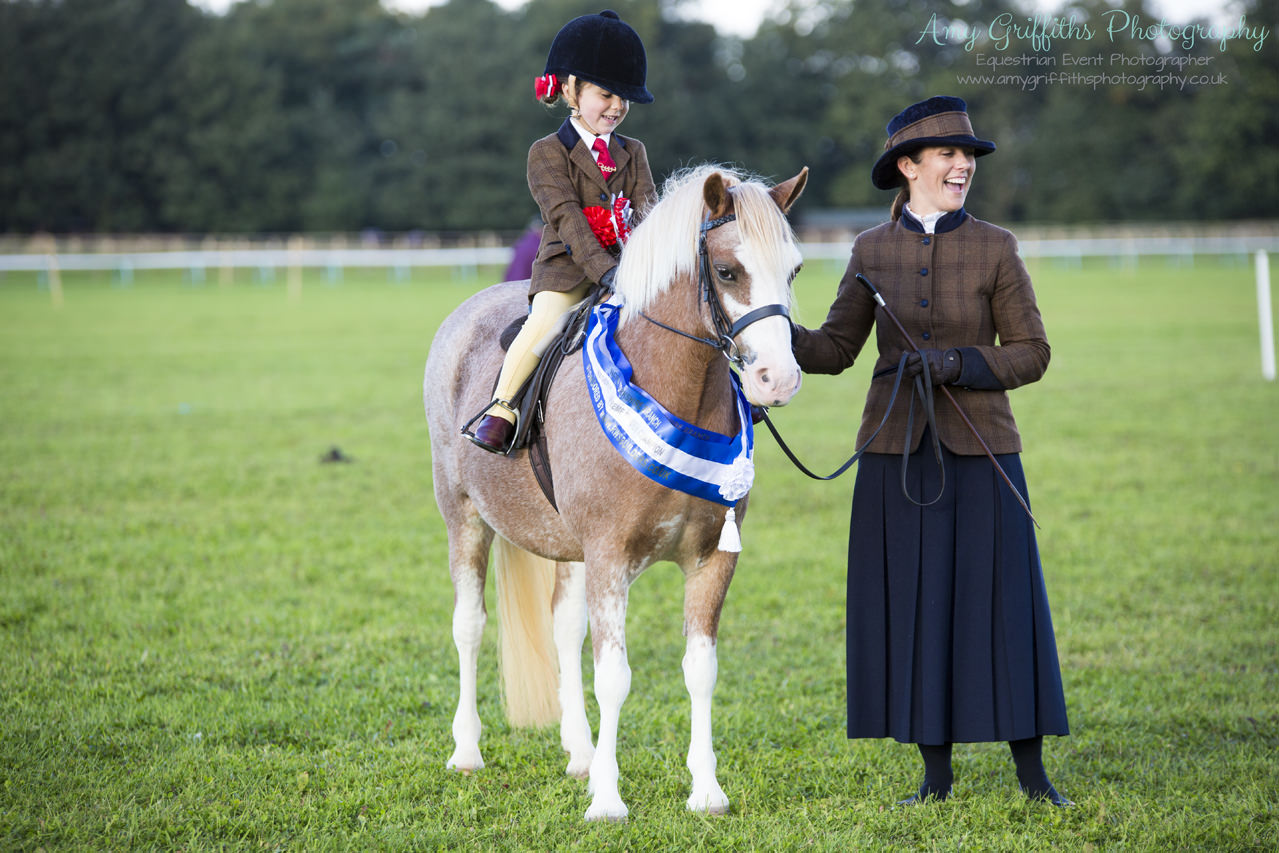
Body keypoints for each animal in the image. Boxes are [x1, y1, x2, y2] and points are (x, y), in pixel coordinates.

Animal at [424, 163, 803, 823]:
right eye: (728, 271)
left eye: (795, 270)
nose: (775, 380)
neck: (670, 389)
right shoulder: (609, 558)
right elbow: (614, 677)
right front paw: (607, 800)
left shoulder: (713, 558)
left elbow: (700, 669)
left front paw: (706, 791)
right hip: (464, 517)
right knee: (468, 625)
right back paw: (467, 751)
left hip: (569, 550)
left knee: (563, 631)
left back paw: (578, 753)